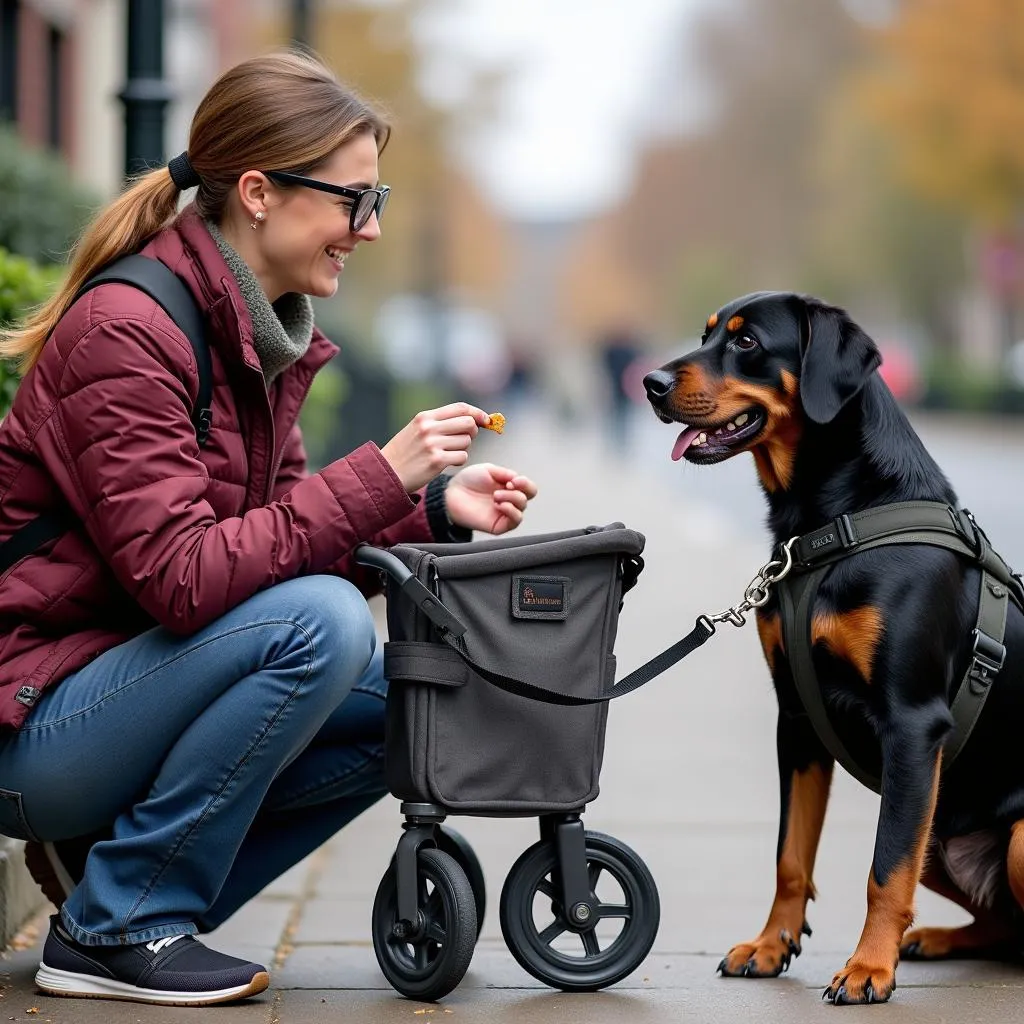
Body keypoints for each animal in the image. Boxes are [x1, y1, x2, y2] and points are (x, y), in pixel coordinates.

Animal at [647, 292, 1024, 1003]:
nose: (650, 383)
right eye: (706, 335)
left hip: (983, 821)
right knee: (1001, 922)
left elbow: (883, 868)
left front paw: (868, 968)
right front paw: (771, 946)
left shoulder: (911, 724)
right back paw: (935, 939)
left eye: (745, 343)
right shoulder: (797, 718)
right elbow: (791, 856)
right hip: (940, 824)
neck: (828, 523)